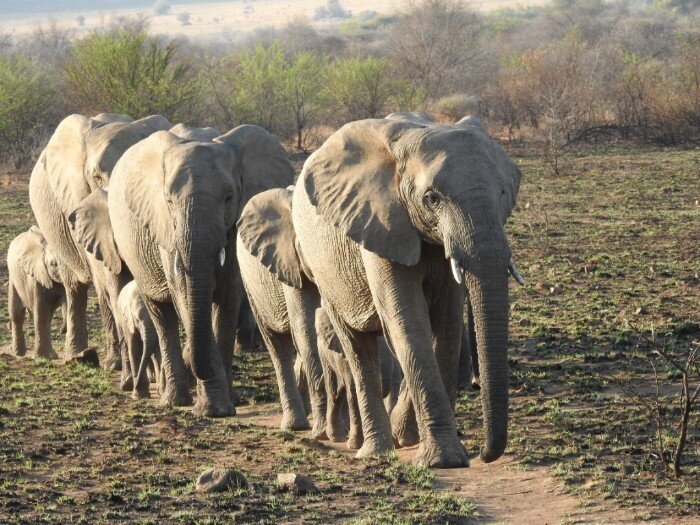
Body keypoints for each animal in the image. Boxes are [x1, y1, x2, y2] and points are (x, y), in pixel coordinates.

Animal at [7, 226, 70, 359]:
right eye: (53, 264)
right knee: (17, 313)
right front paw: (43, 357)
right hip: (13, 278)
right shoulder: (36, 276)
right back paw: (19, 353)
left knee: (48, 317)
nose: (62, 330)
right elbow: (41, 311)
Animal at [29, 112, 171, 369]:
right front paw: (116, 365)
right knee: (75, 287)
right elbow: (108, 280)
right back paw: (79, 356)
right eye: (96, 176)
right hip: (57, 227)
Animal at [108, 125, 295, 416]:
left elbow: (228, 298)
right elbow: (184, 296)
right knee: (161, 313)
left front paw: (226, 404)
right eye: (169, 200)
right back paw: (173, 399)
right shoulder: (165, 227)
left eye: (229, 198)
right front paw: (214, 408)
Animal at [236, 187, 328, 437]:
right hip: (252, 288)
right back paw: (295, 425)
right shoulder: (289, 262)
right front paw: (324, 432)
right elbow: (306, 330)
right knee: (278, 346)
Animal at [290, 115, 522, 467]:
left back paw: (401, 438)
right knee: (358, 349)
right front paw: (444, 460)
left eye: (504, 192)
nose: (483, 455)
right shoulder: (382, 222)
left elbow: (446, 325)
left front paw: (443, 452)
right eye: (432, 199)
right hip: (322, 269)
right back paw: (375, 450)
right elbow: (409, 324)